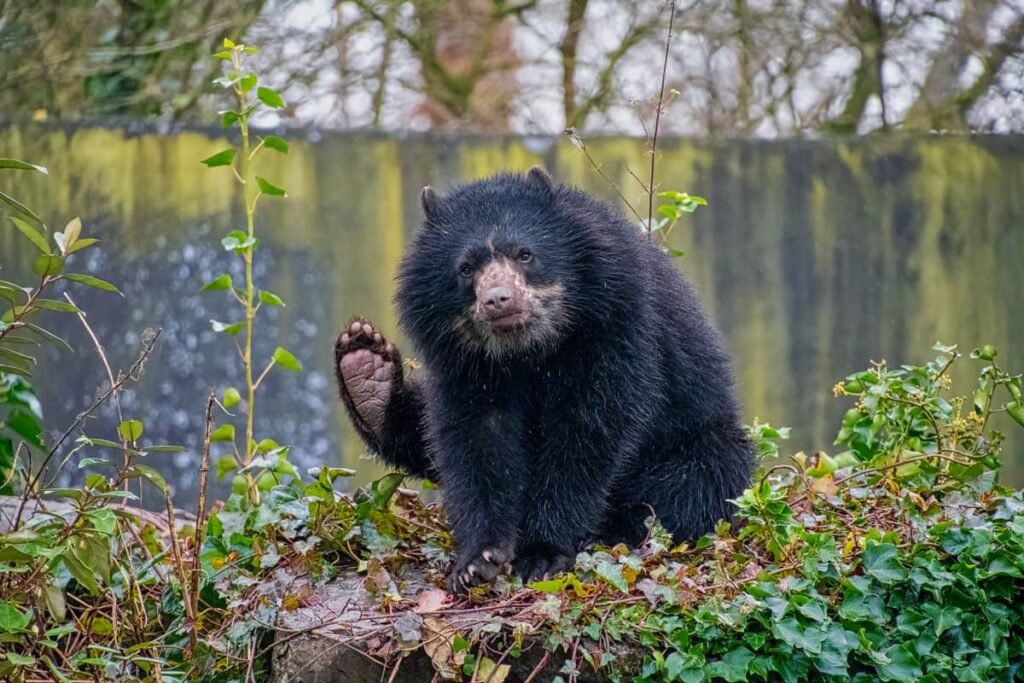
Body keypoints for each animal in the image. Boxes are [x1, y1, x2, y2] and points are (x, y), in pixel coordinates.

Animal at [334, 168, 755, 593]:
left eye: (525, 254)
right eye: (467, 268)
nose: (498, 300)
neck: (530, 349)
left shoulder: (616, 328)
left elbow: (589, 431)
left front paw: (542, 555)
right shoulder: (466, 363)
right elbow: (476, 439)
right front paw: (477, 562)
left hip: (701, 443)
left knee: (694, 484)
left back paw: (608, 534)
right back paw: (366, 370)